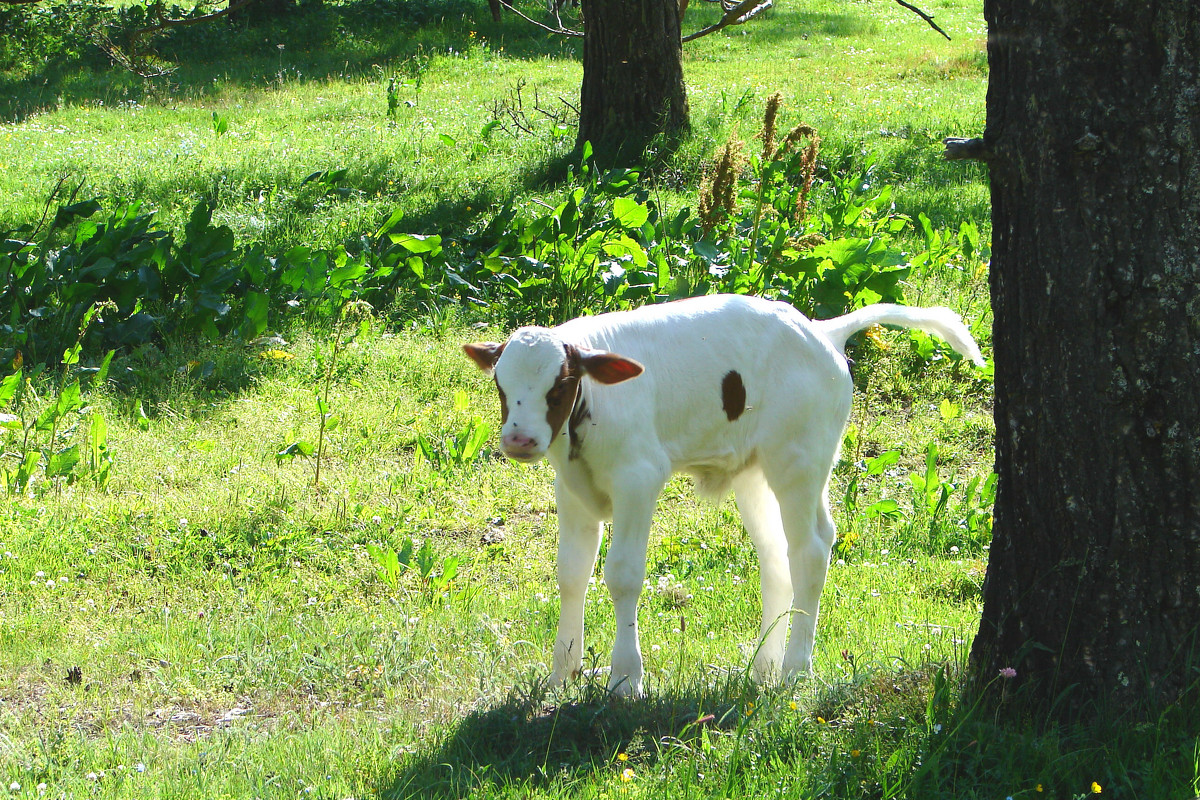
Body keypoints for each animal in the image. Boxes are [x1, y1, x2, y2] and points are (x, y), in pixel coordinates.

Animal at [463, 292, 979, 695]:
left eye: (561, 385)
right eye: (501, 385)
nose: (520, 439)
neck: (589, 411)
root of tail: (821, 330)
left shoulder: (638, 477)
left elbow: (623, 575)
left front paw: (625, 679)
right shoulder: (571, 489)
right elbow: (571, 574)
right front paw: (561, 674)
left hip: (798, 460)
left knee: (810, 549)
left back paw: (795, 669)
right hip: (754, 474)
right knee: (776, 555)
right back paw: (764, 666)